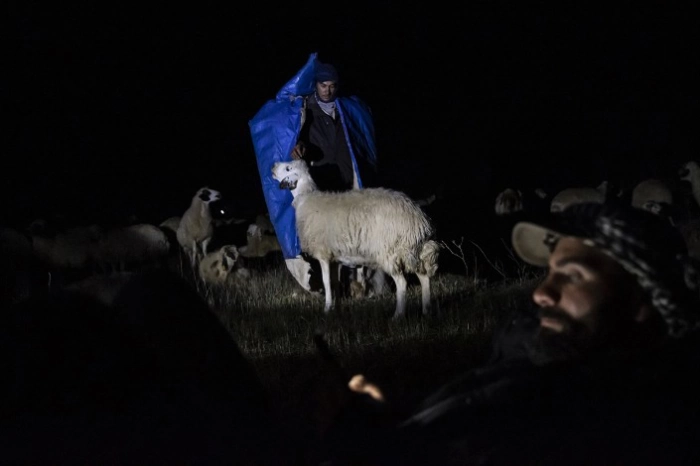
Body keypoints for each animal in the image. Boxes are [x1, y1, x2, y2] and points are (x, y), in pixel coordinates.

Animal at [271, 159, 440, 319]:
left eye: (288, 168)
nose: (273, 167)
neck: (305, 198)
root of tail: (418, 219)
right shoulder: (335, 257)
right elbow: (336, 283)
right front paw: (337, 309)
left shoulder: (323, 253)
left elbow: (326, 282)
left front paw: (326, 309)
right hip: (412, 251)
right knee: (424, 277)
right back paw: (426, 311)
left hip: (390, 251)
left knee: (402, 283)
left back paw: (398, 315)